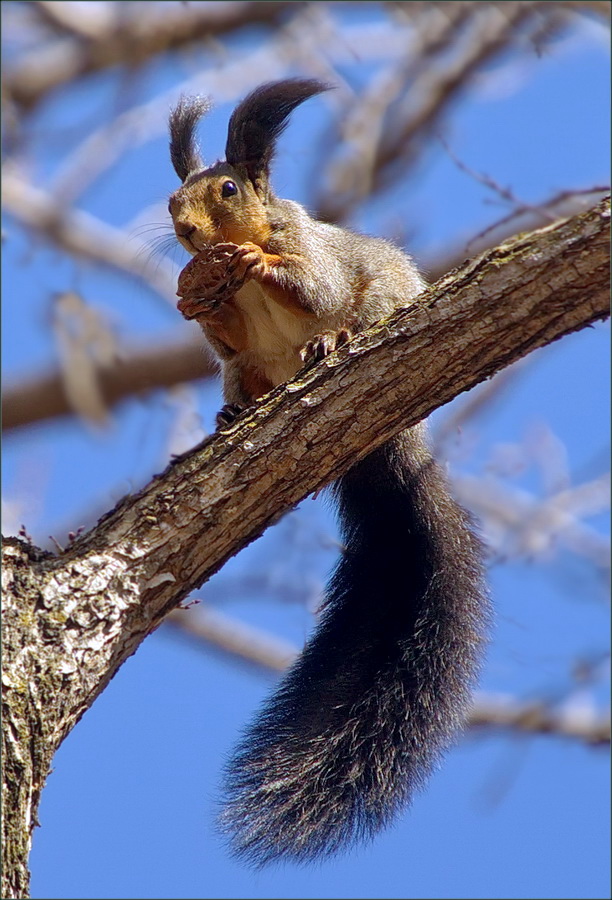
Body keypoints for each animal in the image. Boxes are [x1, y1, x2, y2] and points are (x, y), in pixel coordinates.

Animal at [166, 77, 488, 864]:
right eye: (171, 198)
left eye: (227, 188)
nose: (184, 231)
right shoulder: (234, 337)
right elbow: (224, 335)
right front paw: (194, 294)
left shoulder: (316, 258)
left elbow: (312, 290)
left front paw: (259, 269)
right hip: (249, 374)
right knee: (242, 377)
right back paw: (232, 412)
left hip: (376, 302)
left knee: (343, 318)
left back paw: (330, 345)